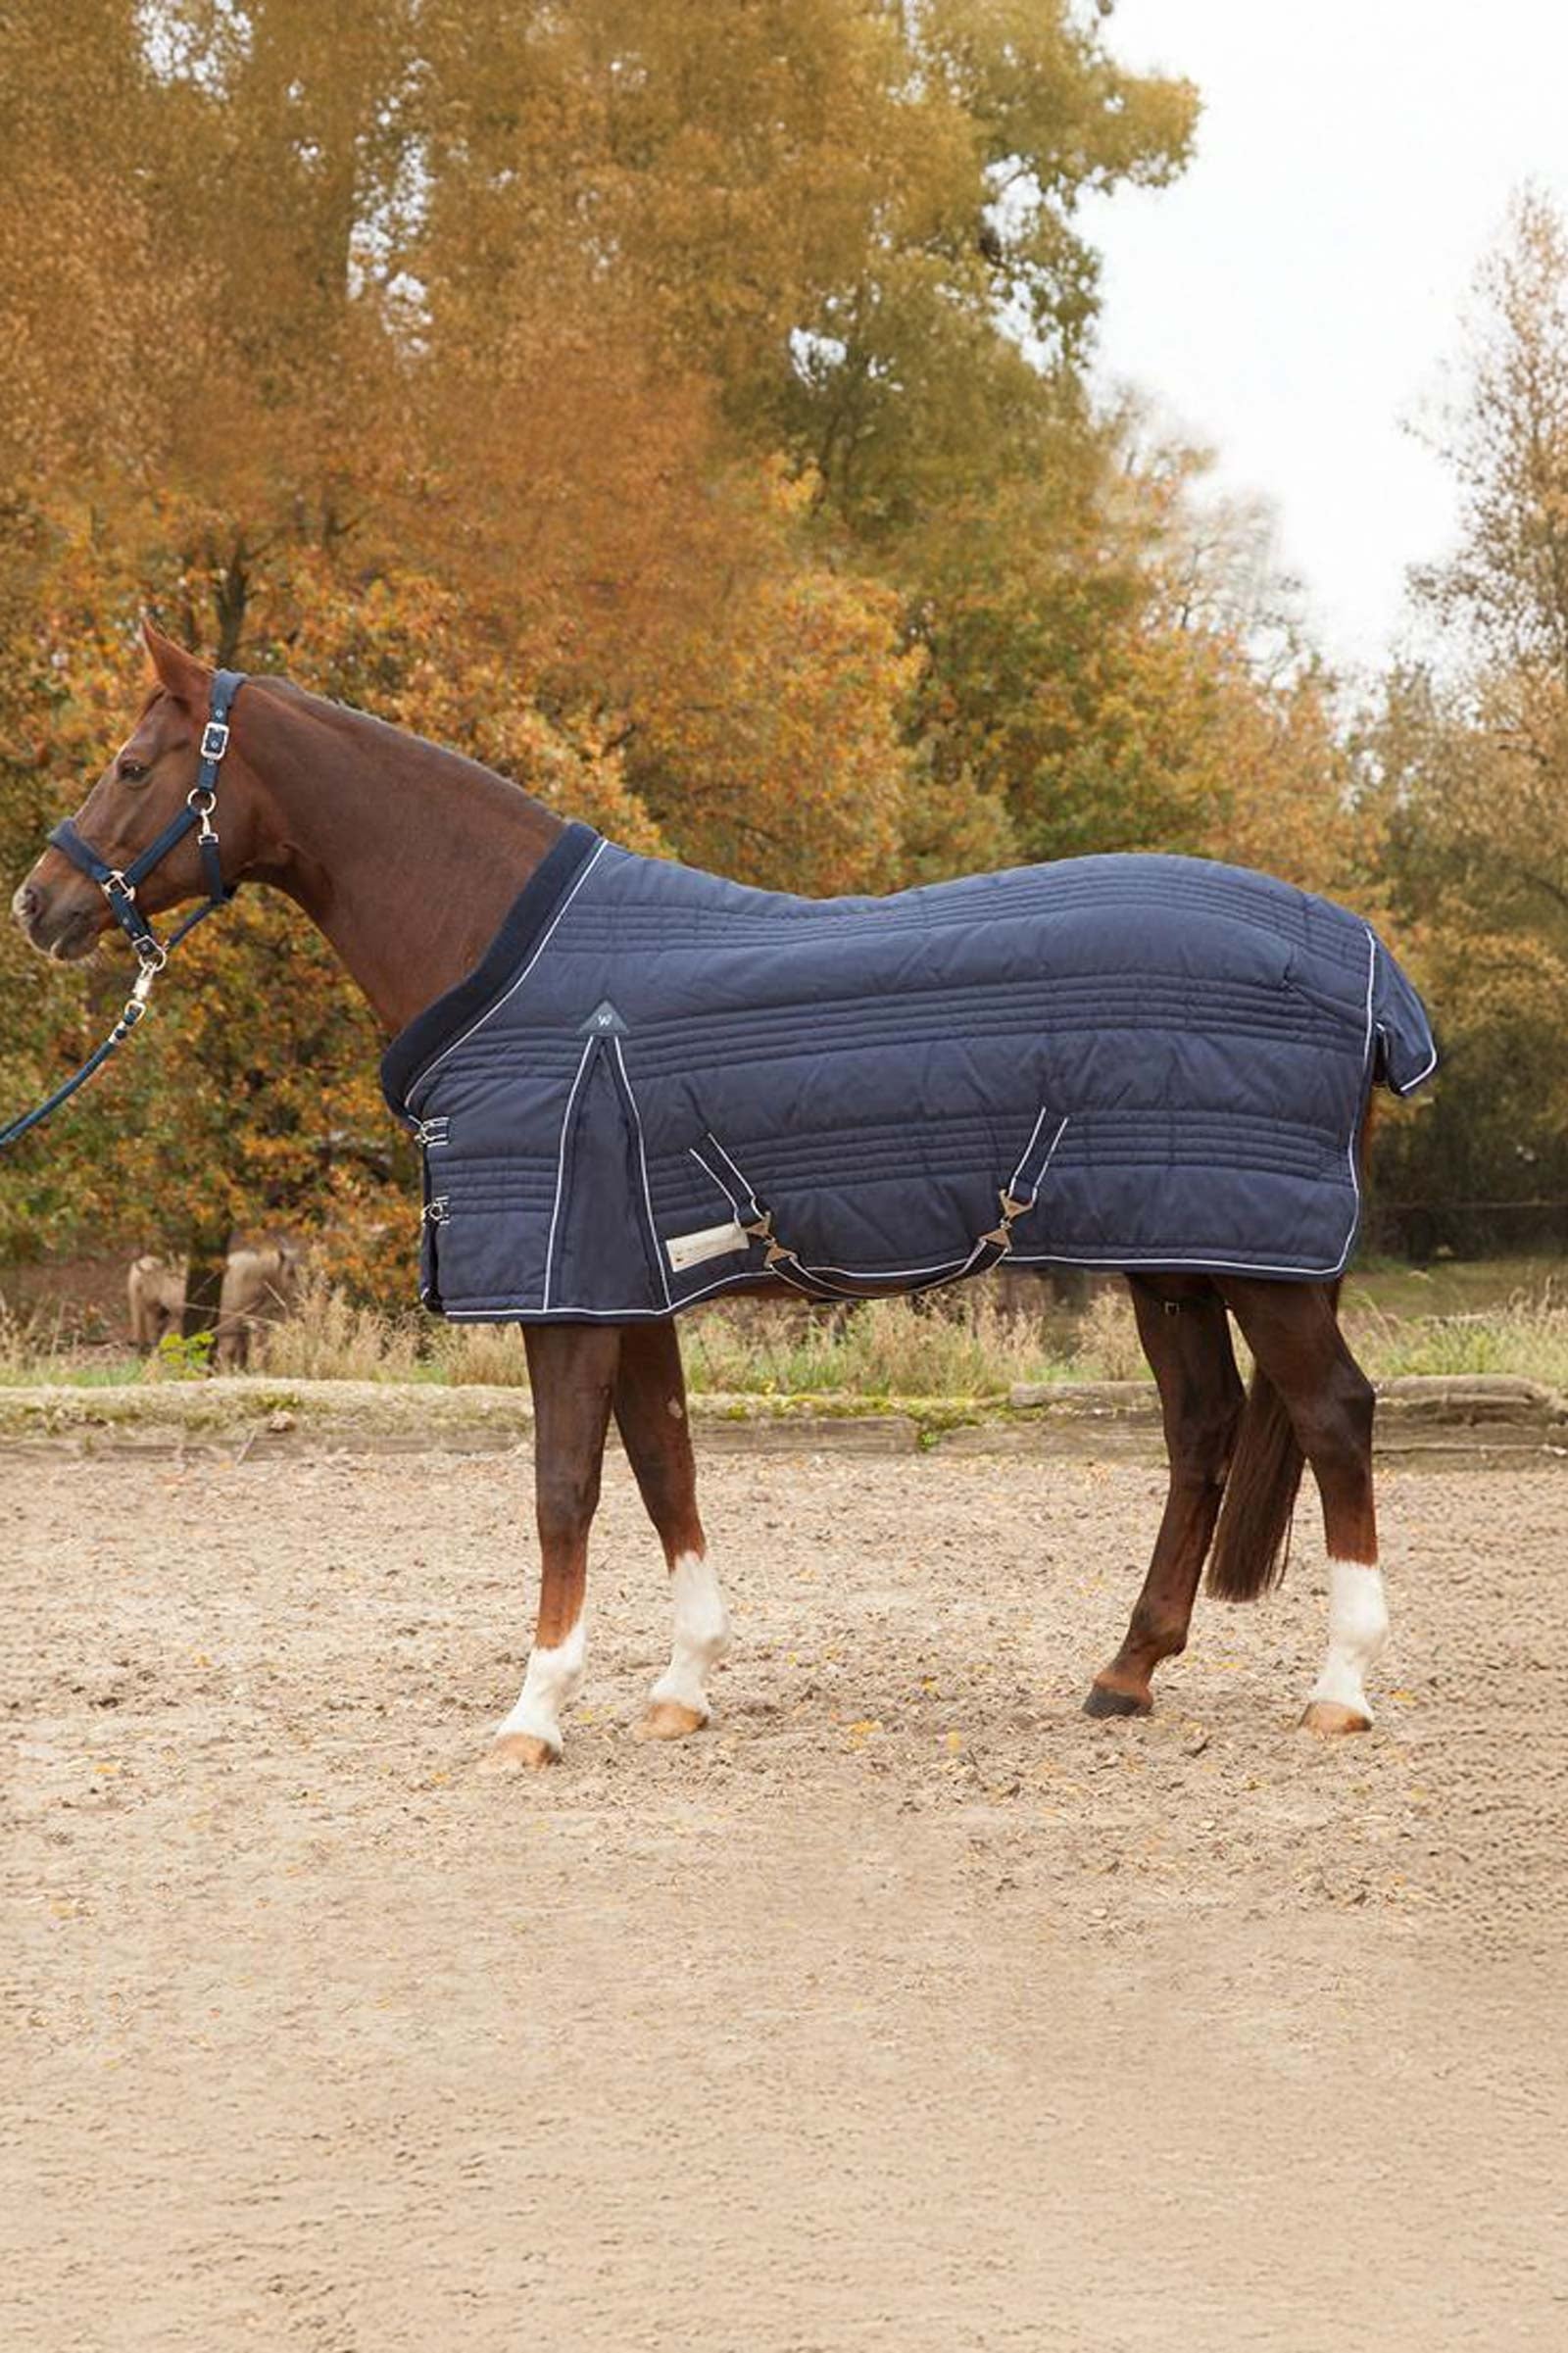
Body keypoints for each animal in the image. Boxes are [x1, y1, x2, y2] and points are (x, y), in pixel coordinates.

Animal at [11, 621, 1421, 1770]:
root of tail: (1363, 957)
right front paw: (680, 1687)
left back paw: (1340, 1689)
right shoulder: (623, 1285)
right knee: (1203, 1428)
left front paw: (535, 1712)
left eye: (132, 765)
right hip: (1175, 1257)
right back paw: (1126, 1672)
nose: (41, 902)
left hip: (1258, 1268)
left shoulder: (568, 1292)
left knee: (1333, 1416)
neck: (518, 966)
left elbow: (565, 1488)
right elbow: (665, 1468)